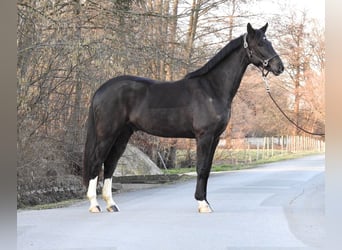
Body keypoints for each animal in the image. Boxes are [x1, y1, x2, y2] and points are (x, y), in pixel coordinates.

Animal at [82, 23, 284, 213]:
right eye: (260, 44)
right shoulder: (204, 136)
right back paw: (94, 205)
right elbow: (201, 168)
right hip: (107, 134)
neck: (212, 89)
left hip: (123, 134)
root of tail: (101, 90)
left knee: (110, 164)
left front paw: (206, 202)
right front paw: (202, 204)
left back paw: (111, 204)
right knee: (96, 162)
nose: (280, 67)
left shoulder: (215, 138)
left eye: (269, 42)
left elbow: (207, 169)